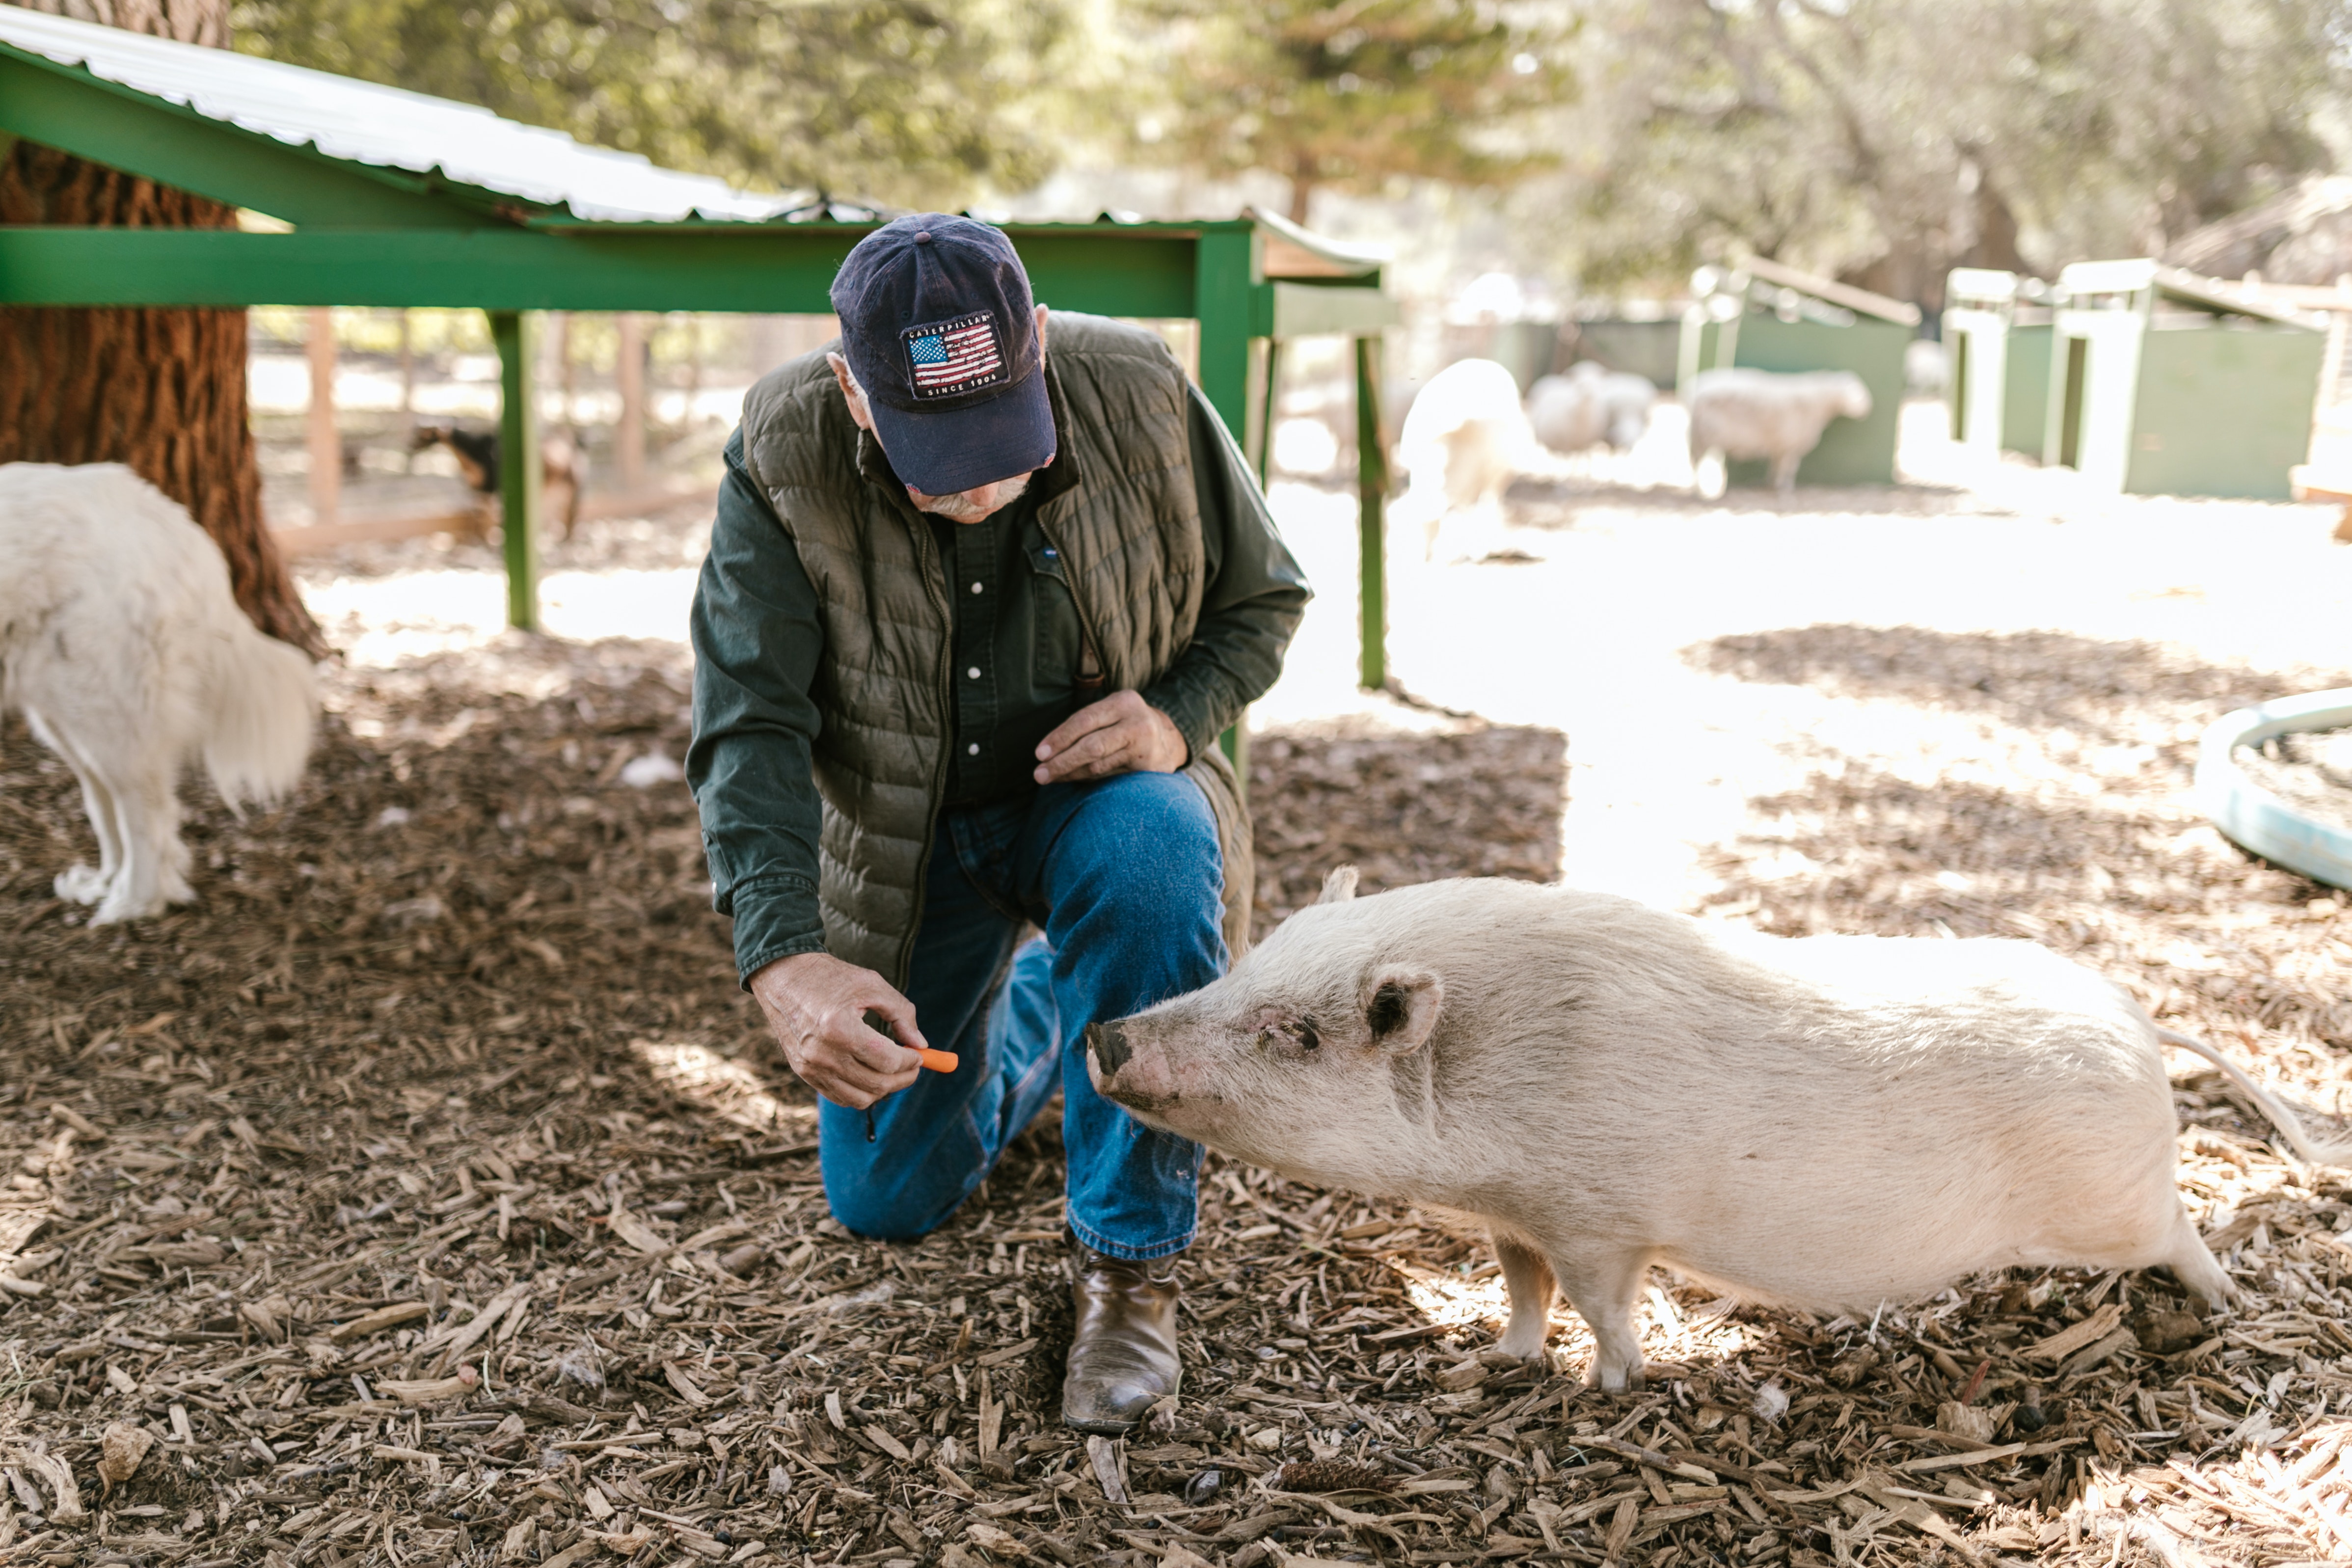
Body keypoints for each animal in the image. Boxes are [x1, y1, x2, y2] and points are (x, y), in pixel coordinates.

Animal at [1, 460, 317, 926]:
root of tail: (172, 521)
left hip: (107, 716)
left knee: (147, 816)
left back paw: (133, 903)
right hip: (70, 720)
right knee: (107, 806)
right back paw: (104, 885)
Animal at [1081, 879, 2333, 1391]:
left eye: (1295, 1033)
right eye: (1245, 961)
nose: (1103, 1033)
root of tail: (2138, 1019)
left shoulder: (1602, 1219)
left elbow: (1602, 1305)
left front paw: (1609, 1387)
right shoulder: (1517, 1215)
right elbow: (1521, 1288)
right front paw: (1490, 1362)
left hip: (2119, 1200)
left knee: (2182, 1231)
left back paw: (2225, 1304)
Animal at [1693, 369, 1872, 496]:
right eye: (1861, 395)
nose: (1867, 410)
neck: (1820, 402)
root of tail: (1694, 390)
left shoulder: (1780, 446)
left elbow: (1776, 466)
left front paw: (1771, 484)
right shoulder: (1791, 446)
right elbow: (1788, 468)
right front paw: (1784, 487)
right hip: (1702, 438)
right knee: (1696, 464)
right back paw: (1699, 490)